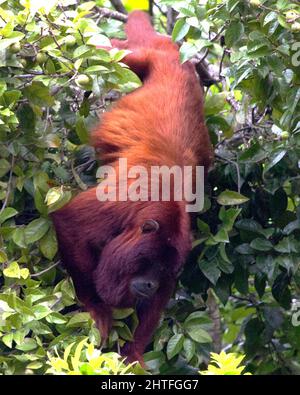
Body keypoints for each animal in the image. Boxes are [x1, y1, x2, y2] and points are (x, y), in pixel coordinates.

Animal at [51, 10, 212, 366]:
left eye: (163, 270)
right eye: (148, 262)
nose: (150, 284)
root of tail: (177, 56)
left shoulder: (182, 242)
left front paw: (134, 352)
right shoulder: (123, 200)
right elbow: (69, 220)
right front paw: (97, 308)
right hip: (146, 53)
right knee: (112, 52)